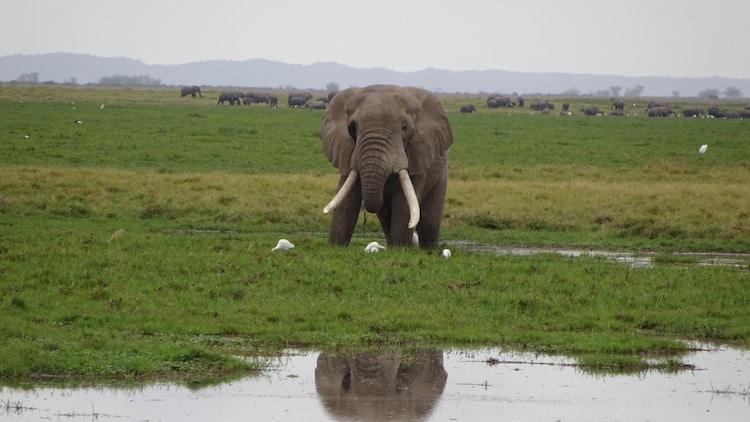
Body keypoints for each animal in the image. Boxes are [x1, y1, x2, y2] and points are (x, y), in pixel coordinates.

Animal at [322, 84, 456, 249]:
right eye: (352, 127)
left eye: (404, 127)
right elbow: (346, 202)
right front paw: (335, 246)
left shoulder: (417, 156)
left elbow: (404, 206)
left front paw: (400, 249)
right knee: (386, 217)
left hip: (441, 171)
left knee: (428, 220)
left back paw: (428, 251)